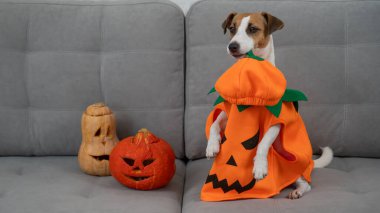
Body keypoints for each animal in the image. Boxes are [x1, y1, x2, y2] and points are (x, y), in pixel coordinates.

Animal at [206, 12, 334, 200]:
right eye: (232, 29)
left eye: (253, 29)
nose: (232, 46)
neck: (251, 82)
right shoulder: (226, 114)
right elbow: (214, 125)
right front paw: (212, 146)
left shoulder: (277, 122)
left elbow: (263, 142)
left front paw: (260, 166)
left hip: (295, 170)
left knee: (305, 183)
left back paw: (298, 191)